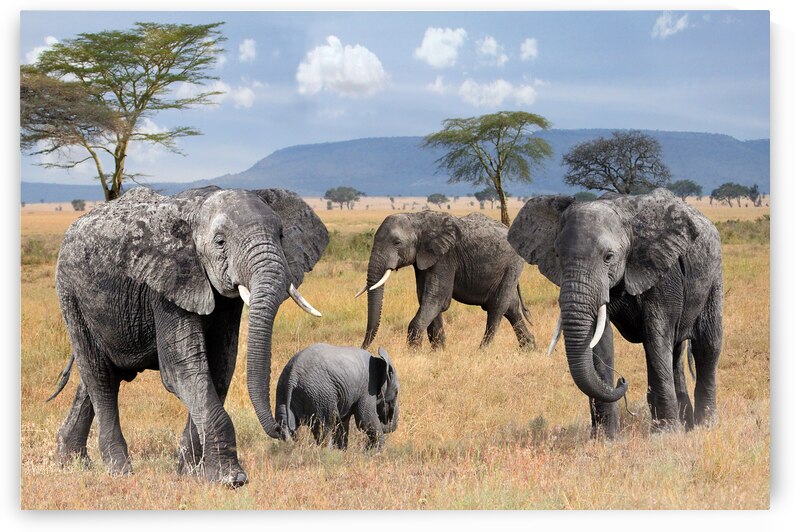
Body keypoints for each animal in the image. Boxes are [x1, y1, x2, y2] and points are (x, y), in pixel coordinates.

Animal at [50, 185, 328, 487]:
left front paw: (191, 472)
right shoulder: (167, 284)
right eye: (220, 242)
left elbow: (219, 368)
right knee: (100, 378)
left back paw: (71, 462)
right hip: (70, 294)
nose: (284, 429)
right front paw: (232, 479)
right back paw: (119, 471)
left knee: (95, 377)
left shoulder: (222, 301)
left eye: (281, 236)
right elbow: (182, 370)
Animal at [357, 211, 536, 350]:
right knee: (511, 308)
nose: (363, 348)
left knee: (497, 307)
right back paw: (530, 348)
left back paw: (482, 351)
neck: (417, 220)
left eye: (397, 242)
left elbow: (438, 299)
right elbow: (427, 299)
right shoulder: (425, 259)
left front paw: (415, 353)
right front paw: (439, 351)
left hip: (513, 264)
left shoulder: (446, 257)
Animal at [507, 188, 723, 437]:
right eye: (558, 256)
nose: (622, 380)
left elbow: (656, 337)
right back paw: (687, 423)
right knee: (676, 354)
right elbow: (601, 340)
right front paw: (605, 438)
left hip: (714, 276)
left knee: (706, 346)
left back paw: (705, 426)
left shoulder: (663, 272)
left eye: (608, 257)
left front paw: (666, 435)